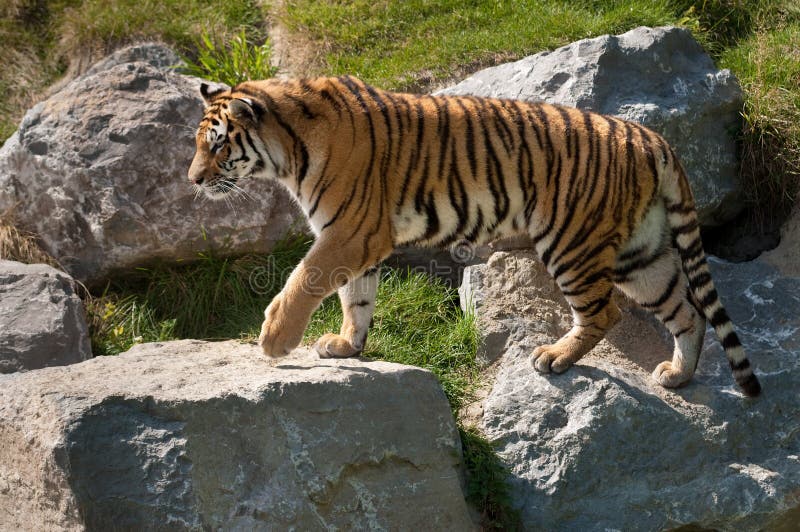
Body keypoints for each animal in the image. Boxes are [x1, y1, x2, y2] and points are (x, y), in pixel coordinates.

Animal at [188, 77, 764, 396]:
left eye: (217, 146)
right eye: (199, 145)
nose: (192, 180)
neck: (289, 150)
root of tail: (651, 137)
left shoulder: (350, 230)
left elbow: (305, 278)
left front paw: (274, 339)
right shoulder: (357, 238)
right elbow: (356, 297)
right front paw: (348, 345)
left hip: (572, 243)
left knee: (605, 313)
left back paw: (555, 357)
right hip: (638, 255)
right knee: (687, 309)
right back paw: (677, 375)